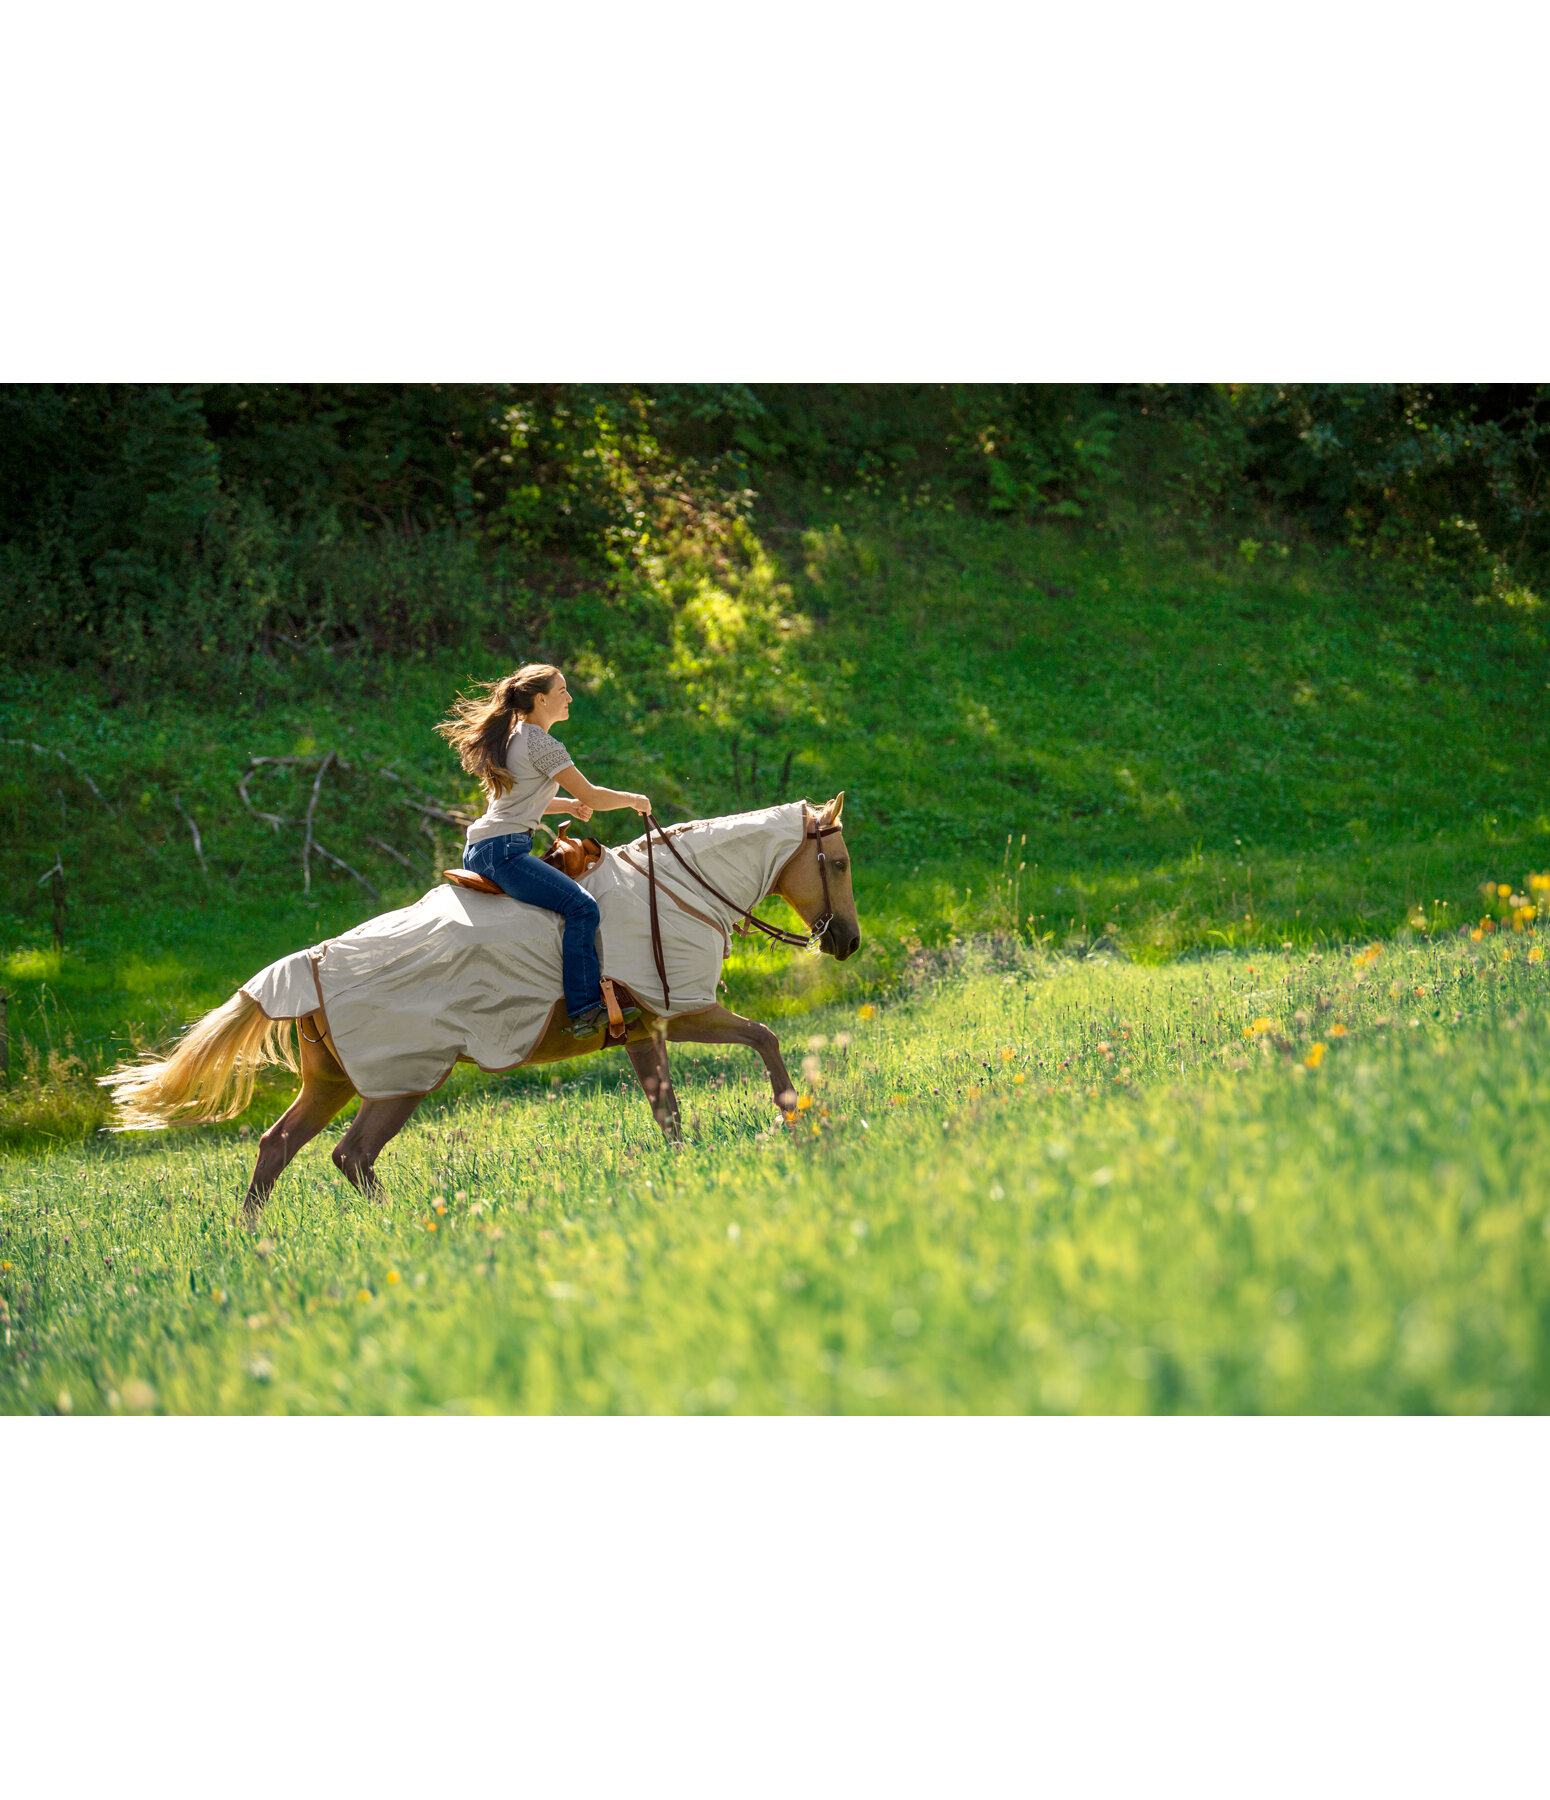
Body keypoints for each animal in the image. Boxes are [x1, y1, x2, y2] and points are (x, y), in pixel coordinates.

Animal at [102, 795, 864, 1216]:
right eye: (839, 862)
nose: (847, 940)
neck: (675, 890)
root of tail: (311, 964)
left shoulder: (651, 1030)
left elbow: (670, 1107)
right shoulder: (681, 1012)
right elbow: (760, 1041)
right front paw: (791, 1114)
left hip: (333, 1084)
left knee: (277, 1147)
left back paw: (253, 1239)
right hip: (401, 1083)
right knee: (350, 1154)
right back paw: (400, 1223)